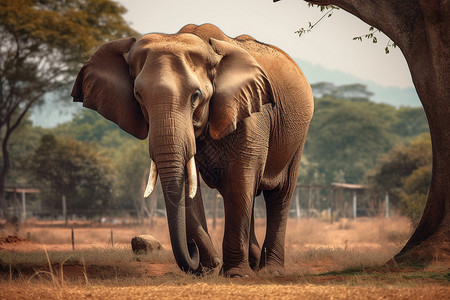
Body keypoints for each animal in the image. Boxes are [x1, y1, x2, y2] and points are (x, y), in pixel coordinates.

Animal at [73, 23, 312, 276]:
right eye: (138, 96)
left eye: (196, 96)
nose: (195, 252)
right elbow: (192, 181)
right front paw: (212, 267)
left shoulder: (250, 112)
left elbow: (241, 177)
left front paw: (235, 274)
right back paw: (254, 264)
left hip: (299, 135)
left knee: (279, 194)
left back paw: (271, 270)